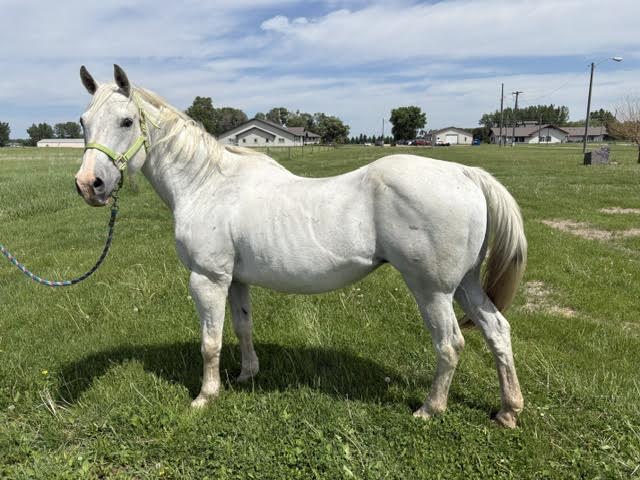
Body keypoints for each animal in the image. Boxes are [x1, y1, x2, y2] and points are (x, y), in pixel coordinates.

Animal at [75, 65, 527, 428]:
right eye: (82, 121)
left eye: (127, 121)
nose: (88, 185)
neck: (206, 185)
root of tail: (466, 174)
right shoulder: (235, 280)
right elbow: (242, 327)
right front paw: (246, 374)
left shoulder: (207, 279)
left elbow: (210, 342)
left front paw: (205, 396)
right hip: (465, 283)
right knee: (497, 331)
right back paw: (508, 410)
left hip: (432, 290)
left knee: (451, 344)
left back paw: (430, 408)